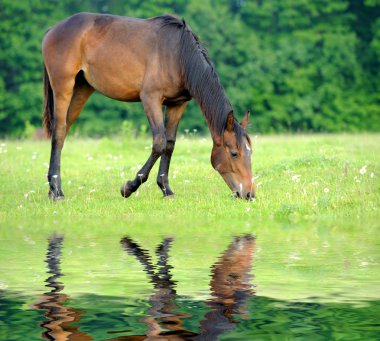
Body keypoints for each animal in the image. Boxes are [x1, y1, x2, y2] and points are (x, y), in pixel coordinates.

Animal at [42, 12, 255, 199]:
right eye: (234, 153)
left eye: (250, 152)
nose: (249, 194)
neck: (178, 55)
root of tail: (53, 29)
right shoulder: (151, 99)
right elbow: (159, 143)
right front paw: (129, 187)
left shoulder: (177, 104)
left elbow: (169, 145)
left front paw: (166, 189)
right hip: (63, 87)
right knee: (59, 131)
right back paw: (57, 191)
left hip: (81, 89)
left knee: (63, 132)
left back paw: (52, 190)